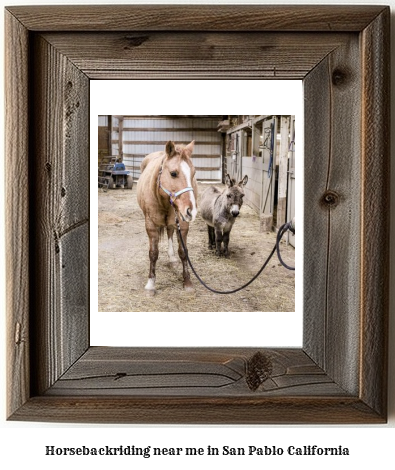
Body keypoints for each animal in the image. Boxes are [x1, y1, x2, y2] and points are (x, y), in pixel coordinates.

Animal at [137, 140, 198, 294]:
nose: (191, 211)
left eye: (193, 173)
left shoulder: (182, 224)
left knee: (170, 232)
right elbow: (153, 253)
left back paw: (172, 258)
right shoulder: (151, 225)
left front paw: (187, 281)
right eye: (173, 173)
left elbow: (183, 252)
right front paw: (151, 284)